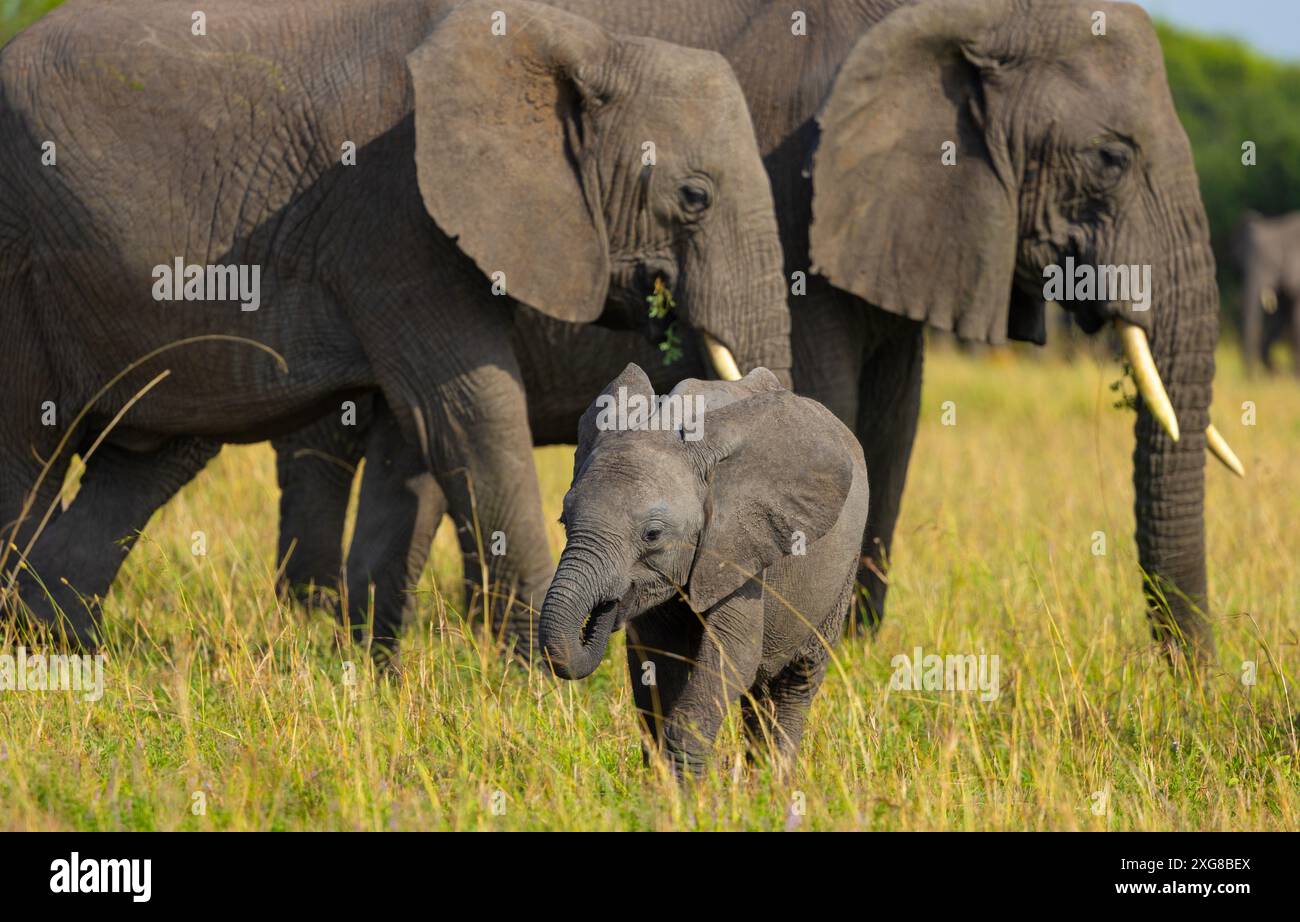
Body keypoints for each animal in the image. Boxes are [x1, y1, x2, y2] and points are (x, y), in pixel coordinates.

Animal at [0, 0, 793, 648]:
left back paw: (60, 639)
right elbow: (470, 414)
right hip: (19, 257)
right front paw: (538, 674)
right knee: (29, 448)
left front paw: (368, 664)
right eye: (694, 196)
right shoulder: (395, 213)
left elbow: (409, 444)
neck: (583, 41)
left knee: (147, 459)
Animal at [537, 364, 870, 775]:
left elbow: (735, 654)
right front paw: (663, 786)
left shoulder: (739, 546)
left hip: (843, 571)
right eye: (564, 520)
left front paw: (687, 784)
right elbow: (654, 661)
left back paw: (774, 785)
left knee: (796, 680)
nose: (604, 610)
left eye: (652, 534)